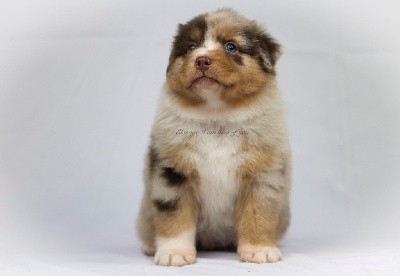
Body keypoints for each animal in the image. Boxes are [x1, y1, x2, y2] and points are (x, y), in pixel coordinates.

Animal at [137, 8, 290, 266]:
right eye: (191, 46)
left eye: (231, 46)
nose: (201, 60)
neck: (216, 116)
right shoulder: (173, 172)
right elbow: (175, 216)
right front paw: (174, 253)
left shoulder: (261, 174)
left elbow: (258, 213)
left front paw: (259, 250)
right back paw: (150, 245)